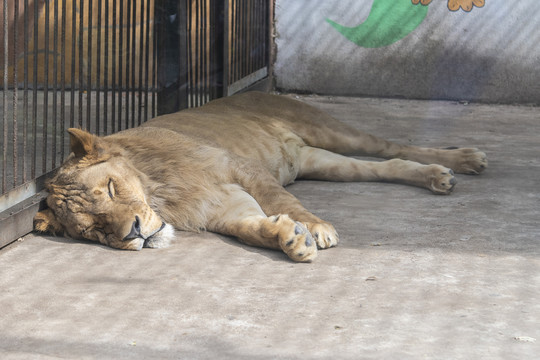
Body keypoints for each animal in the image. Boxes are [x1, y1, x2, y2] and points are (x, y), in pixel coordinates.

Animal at [34, 91, 490, 262]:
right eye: (93, 230)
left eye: (111, 188)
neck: (162, 193)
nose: (132, 233)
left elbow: (285, 201)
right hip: (322, 161)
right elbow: (253, 229)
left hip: (330, 130)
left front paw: (316, 228)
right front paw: (290, 239)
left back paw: (463, 160)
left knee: (392, 147)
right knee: (387, 167)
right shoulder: (223, 210)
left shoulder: (245, 170)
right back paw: (439, 177)